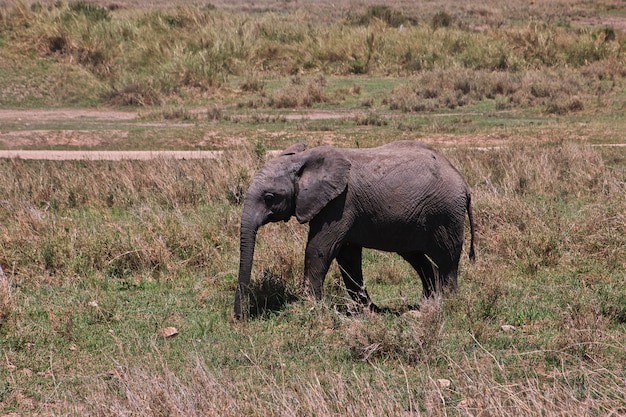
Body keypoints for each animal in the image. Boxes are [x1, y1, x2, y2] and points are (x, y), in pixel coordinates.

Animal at [234, 140, 472, 318]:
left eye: (269, 197)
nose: (239, 317)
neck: (303, 159)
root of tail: (463, 182)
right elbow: (347, 257)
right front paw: (369, 311)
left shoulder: (340, 204)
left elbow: (319, 249)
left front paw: (311, 307)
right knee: (417, 258)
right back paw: (425, 304)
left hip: (445, 213)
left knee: (447, 259)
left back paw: (447, 303)